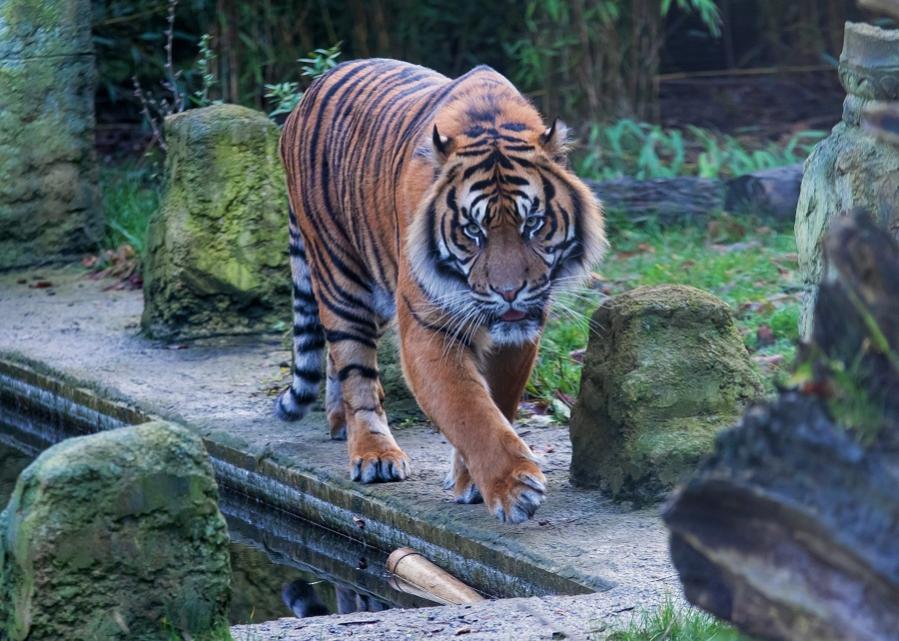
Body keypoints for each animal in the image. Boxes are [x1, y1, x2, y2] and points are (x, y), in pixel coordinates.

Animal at [277, 59, 606, 524]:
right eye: (473, 230)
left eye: (533, 223)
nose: (509, 293)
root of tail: (308, 93)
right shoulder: (428, 329)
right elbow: (467, 409)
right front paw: (513, 487)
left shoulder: (520, 332)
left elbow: (496, 402)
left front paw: (472, 481)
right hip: (341, 277)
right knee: (354, 365)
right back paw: (373, 453)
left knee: (334, 358)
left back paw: (340, 423)